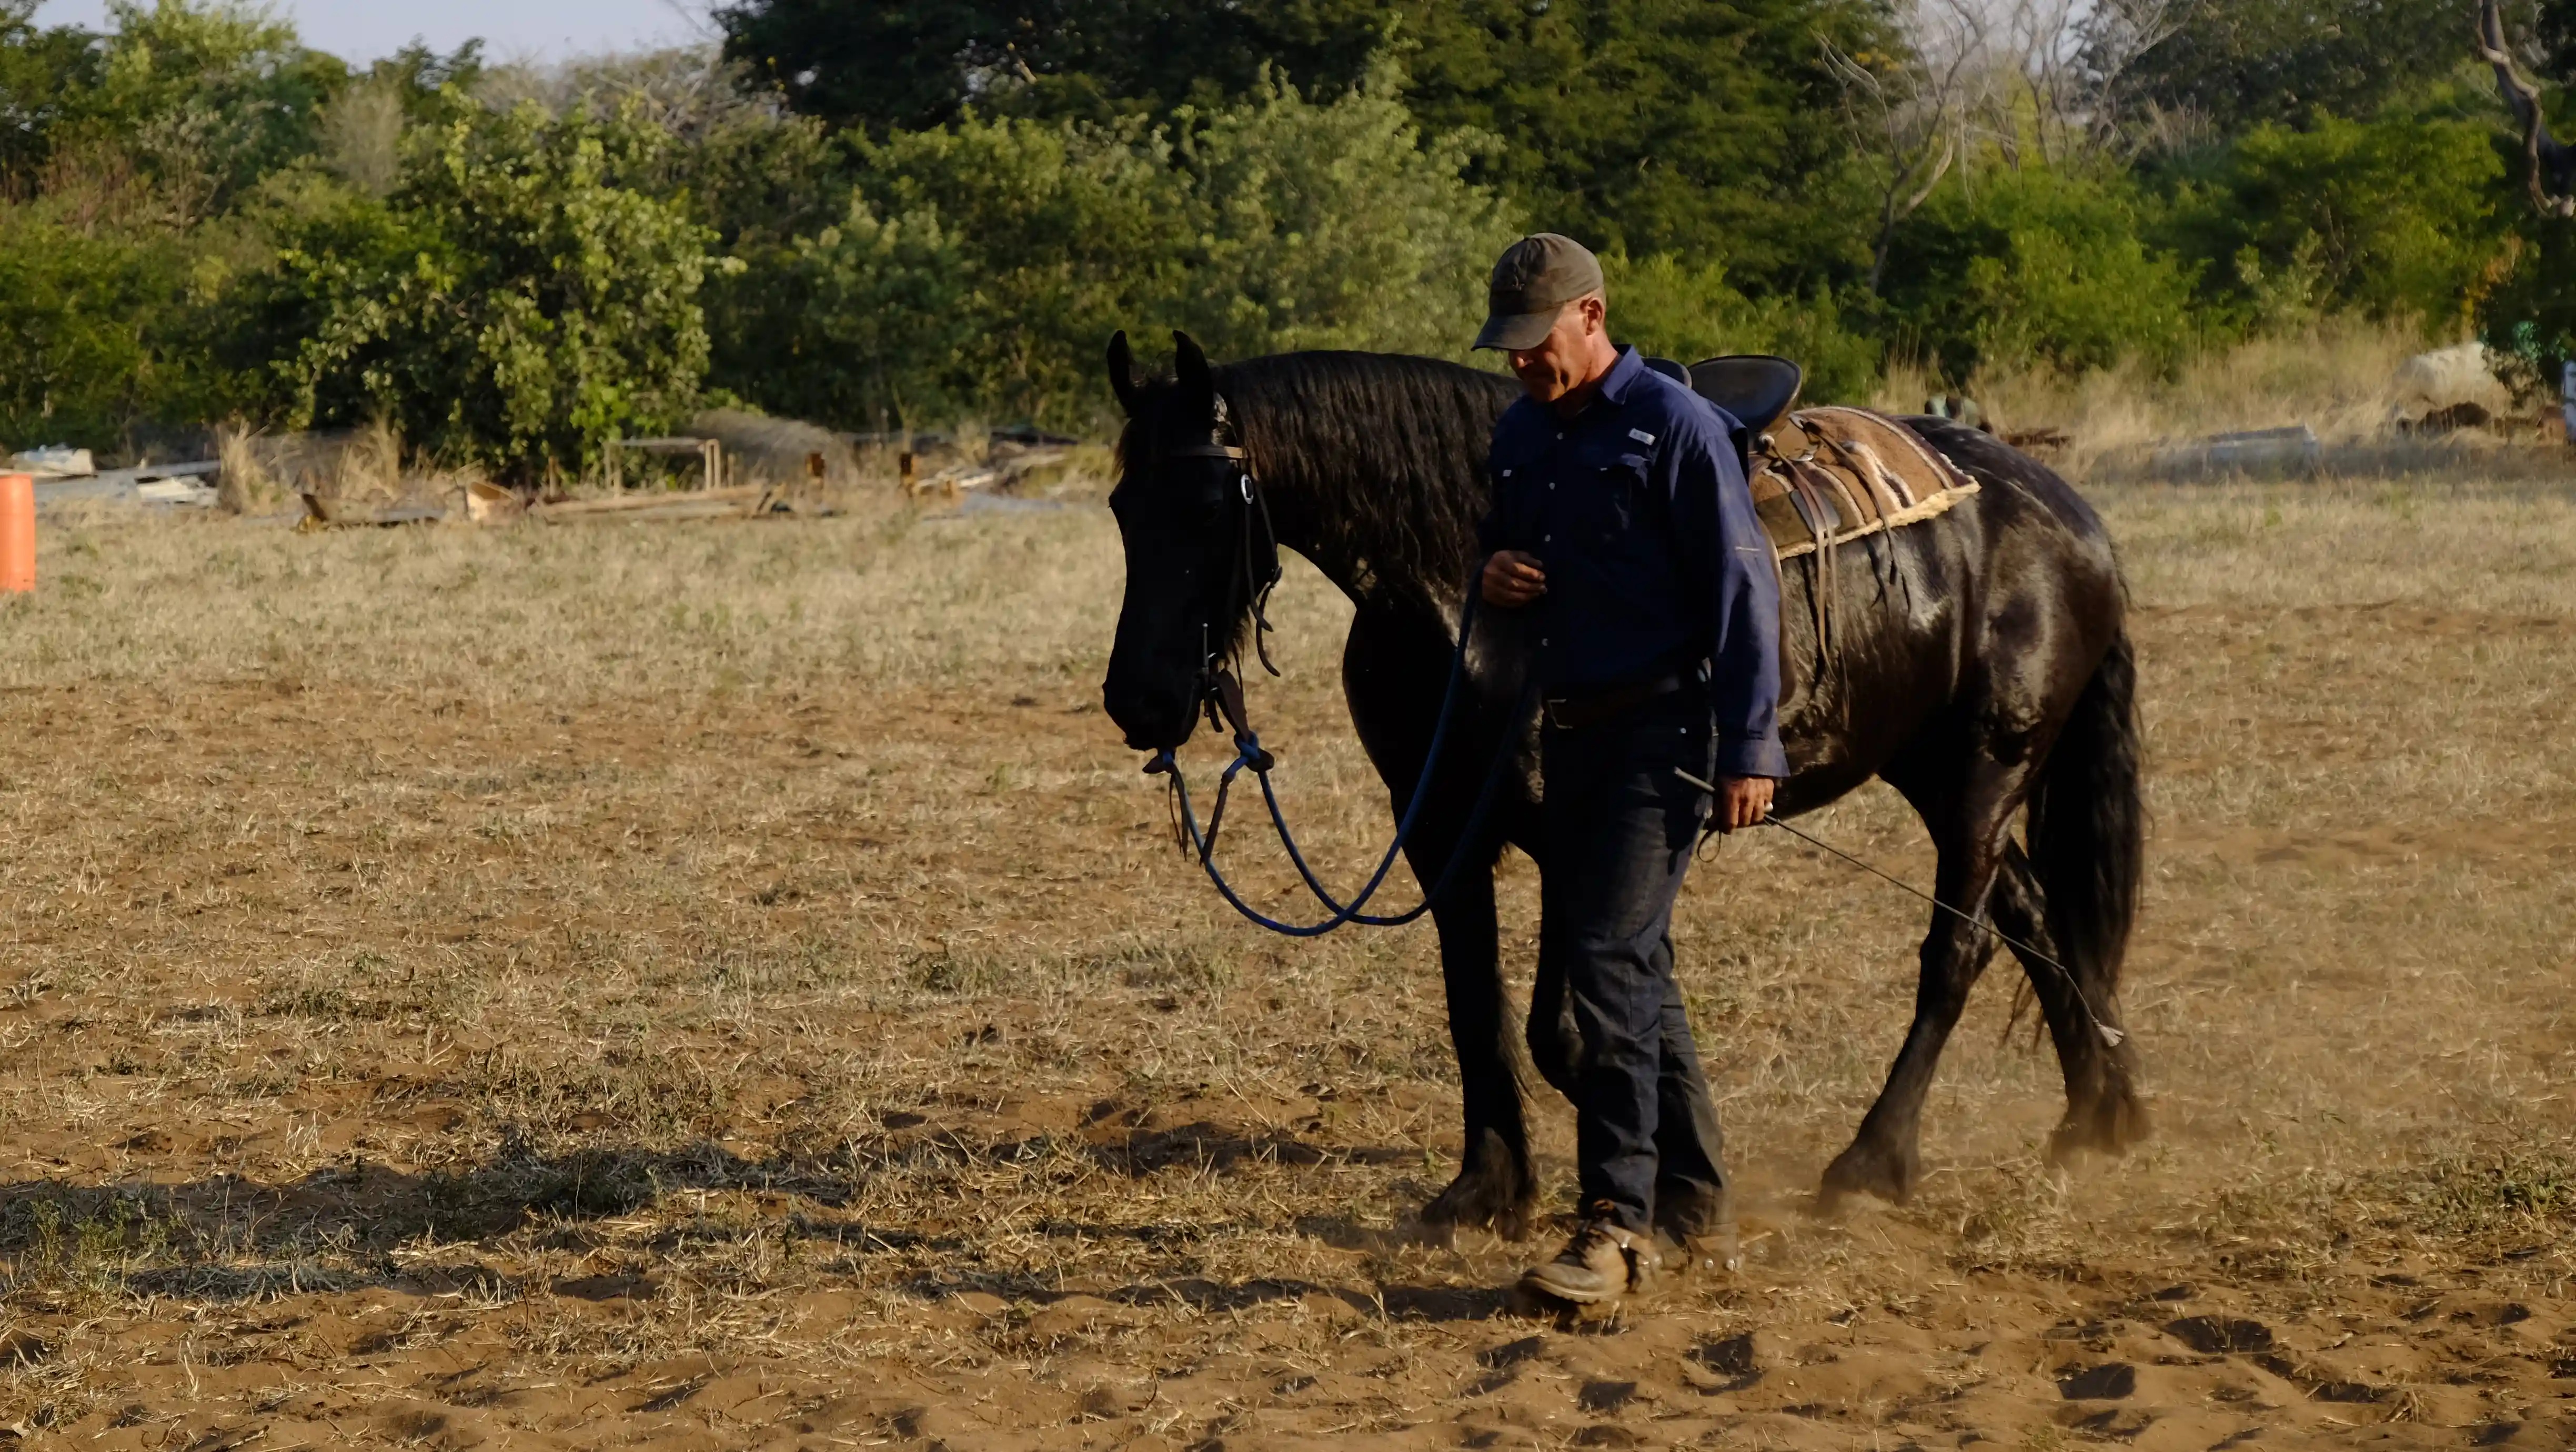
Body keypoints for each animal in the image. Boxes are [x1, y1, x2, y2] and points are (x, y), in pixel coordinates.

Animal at [1100, 329, 2144, 1237]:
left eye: (1206, 508)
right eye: (1120, 508)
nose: (1139, 700)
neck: (1465, 589)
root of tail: (2065, 510)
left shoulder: (1576, 831)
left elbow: (1566, 1032)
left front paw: (1671, 1172)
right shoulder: (1439, 828)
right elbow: (1475, 1004)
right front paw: (1488, 1189)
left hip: (1985, 770)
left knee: (1957, 950)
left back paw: (1873, 1164)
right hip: (1928, 764)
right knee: (2034, 918)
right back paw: (2099, 1115)